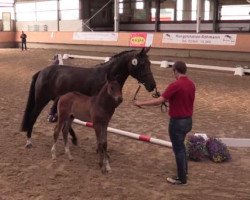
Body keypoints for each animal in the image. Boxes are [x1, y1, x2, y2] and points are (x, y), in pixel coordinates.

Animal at [20, 46, 156, 147]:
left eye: (149, 63)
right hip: (41, 100)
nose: (152, 86)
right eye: (142, 64)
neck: (107, 79)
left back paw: (73, 139)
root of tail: (42, 71)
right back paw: (28, 141)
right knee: (33, 117)